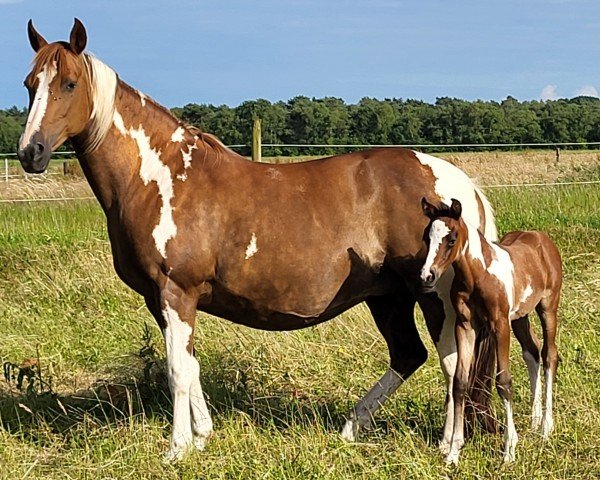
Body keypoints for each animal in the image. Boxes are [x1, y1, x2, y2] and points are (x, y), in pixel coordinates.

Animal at [16, 19, 500, 462]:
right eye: (30, 84)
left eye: (69, 83)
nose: (30, 153)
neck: (159, 179)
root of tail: (460, 187)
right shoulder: (161, 299)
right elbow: (191, 365)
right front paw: (203, 435)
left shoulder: (176, 291)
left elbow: (177, 370)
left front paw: (177, 449)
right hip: (388, 296)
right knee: (408, 355)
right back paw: (353, 427)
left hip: (432, 296)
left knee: (453, 363)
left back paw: (448, 445)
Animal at [420, 198, 560, 464]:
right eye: (426, 237)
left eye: (451, 239)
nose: (427, 276)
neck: (479, 274)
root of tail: (541, 239)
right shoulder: (465, 325)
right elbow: (460, 383)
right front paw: (453, 452)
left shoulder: (499, 324)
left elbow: (503, 382)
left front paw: (509, 450)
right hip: (520, 316)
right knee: (532, 352)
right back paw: (535, 420)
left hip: (548, 307)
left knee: (549, 355)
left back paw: (546, 427)